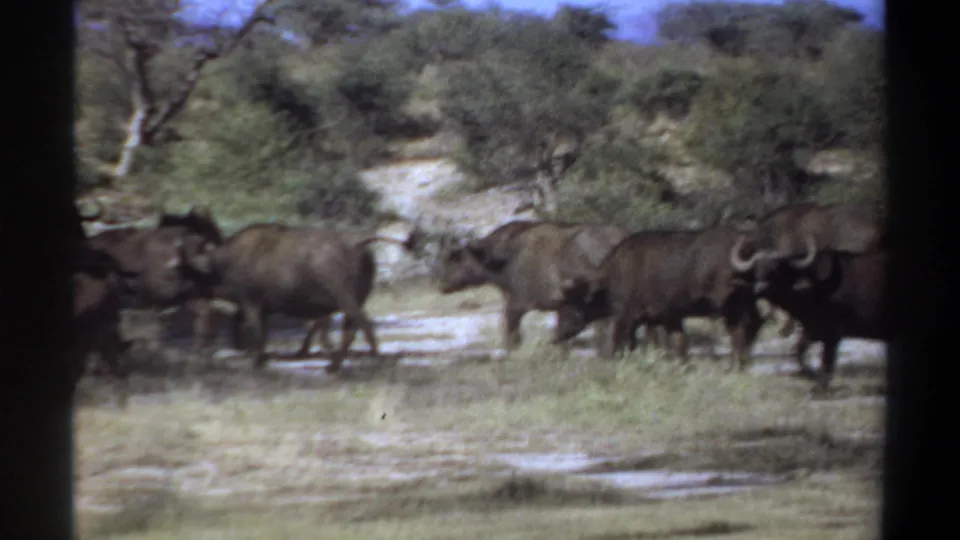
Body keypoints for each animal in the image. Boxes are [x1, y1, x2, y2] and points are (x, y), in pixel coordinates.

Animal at [555, 226, 765, 369]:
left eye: (570, 303)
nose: (557, 336)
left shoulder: (627, 318)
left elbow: (620, 342)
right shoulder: (668, 318)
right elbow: (678, 343)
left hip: (730, 307)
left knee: (740, 329)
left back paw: (736, 364)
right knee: (751, 325)